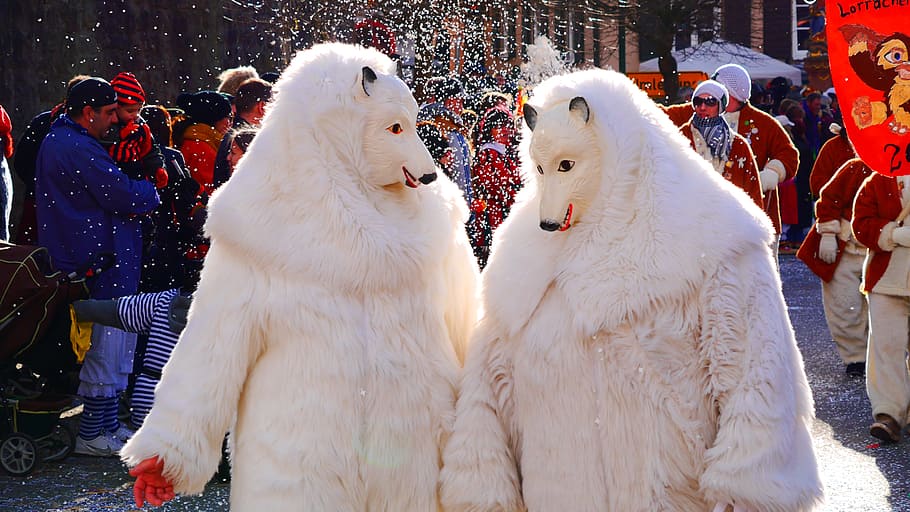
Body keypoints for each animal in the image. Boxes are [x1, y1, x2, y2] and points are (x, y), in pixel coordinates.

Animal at [120, 43, 480, 510]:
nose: (430, 174)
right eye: (395, 127)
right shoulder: (241, 255)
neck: (353, 199)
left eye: (414, 124)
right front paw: (155, 470)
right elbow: (212, 348)